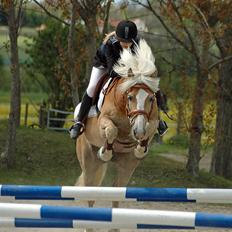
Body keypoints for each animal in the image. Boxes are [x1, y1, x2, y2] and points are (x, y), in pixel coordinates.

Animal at [75, 39, 160, 231]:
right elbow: (111, 130)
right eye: (130, 97)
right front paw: (105, 151)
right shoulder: (104, 121)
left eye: (151, 98)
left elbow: (151, 127)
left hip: (127, 166)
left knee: (117, 191)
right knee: (90, 192)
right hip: (89, 161)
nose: (138, 131)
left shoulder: (152, 120)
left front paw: (140, 148)